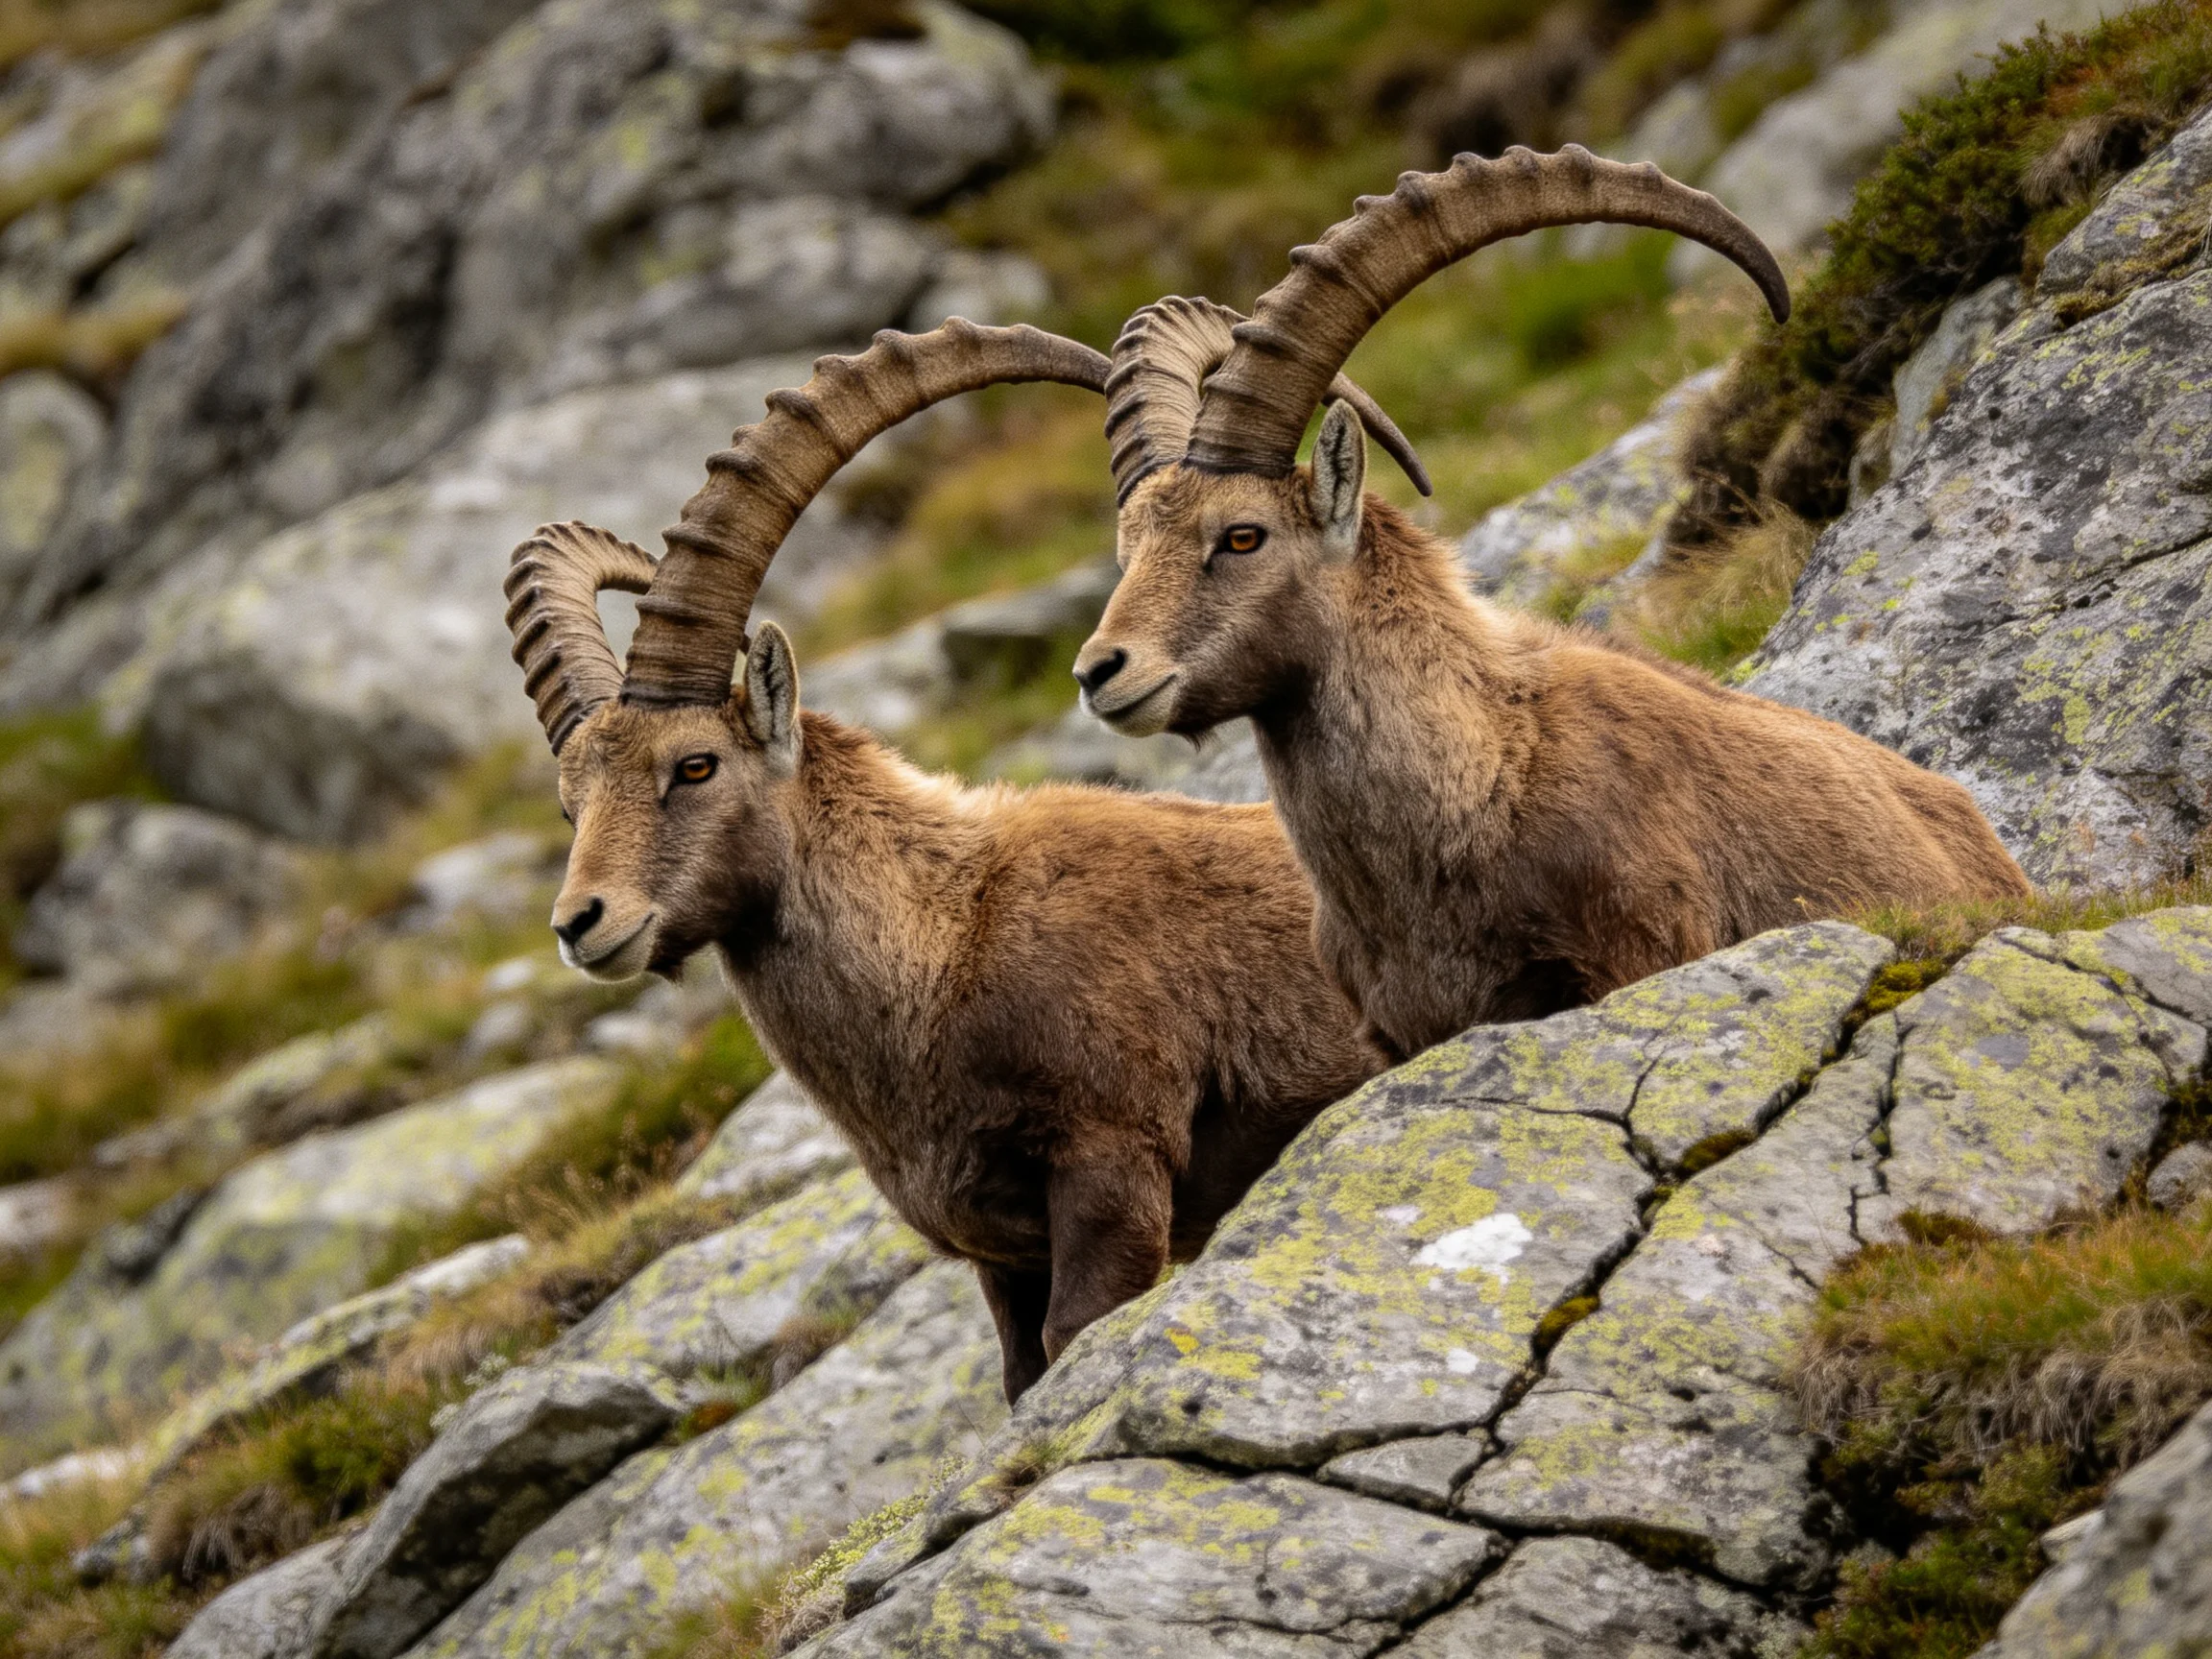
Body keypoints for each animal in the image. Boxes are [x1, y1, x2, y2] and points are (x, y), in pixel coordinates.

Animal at [504, 321, 1385, 1400]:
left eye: (695, 764)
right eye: (570, 800)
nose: (581, 922)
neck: (945, 945)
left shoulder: (1113, 1166)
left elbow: (1076, 1334)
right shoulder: (1002, 1255)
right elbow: (1021, 1374)